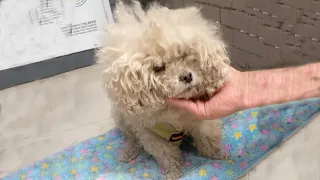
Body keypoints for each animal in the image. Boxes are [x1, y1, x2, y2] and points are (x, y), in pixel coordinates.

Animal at [97, 1, 230, 179]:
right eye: (158, 67)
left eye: (184, 54)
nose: (187, 76)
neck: (172, 113)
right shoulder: (151, 136)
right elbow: (166, 155)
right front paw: (173, 172)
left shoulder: (201, 121)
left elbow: (208, 138)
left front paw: (217, 154)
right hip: (120, 118)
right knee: (131, 139)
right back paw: (128, 153)